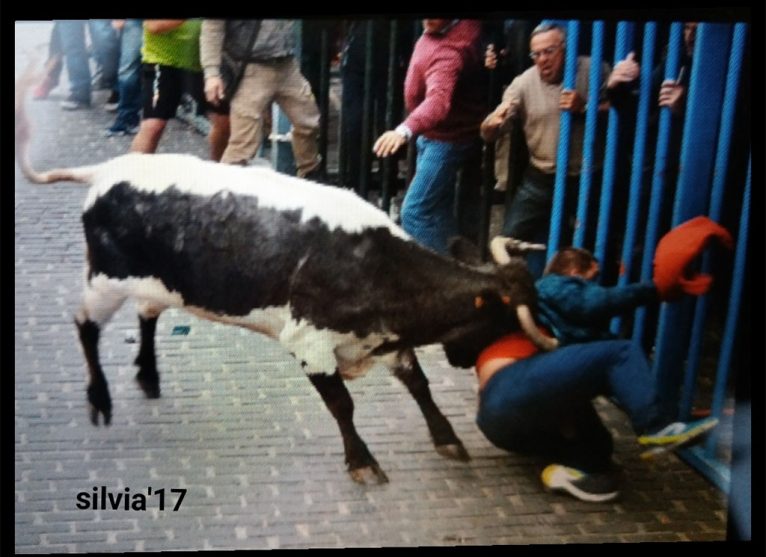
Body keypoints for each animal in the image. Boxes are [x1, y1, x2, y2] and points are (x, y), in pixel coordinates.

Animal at [16, 93, 560, 484]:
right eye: (503, 318)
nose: (467, 362)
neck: (376, 265)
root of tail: (110, 169)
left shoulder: (383, 339)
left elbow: (419, 385)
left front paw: (448, 439)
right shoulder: (309, 342)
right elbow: (343, 405)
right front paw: (362, 462)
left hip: (157, 284)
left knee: (147, 316)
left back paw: (148, 377)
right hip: (103, 281)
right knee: (85, 327)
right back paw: (101, 399)